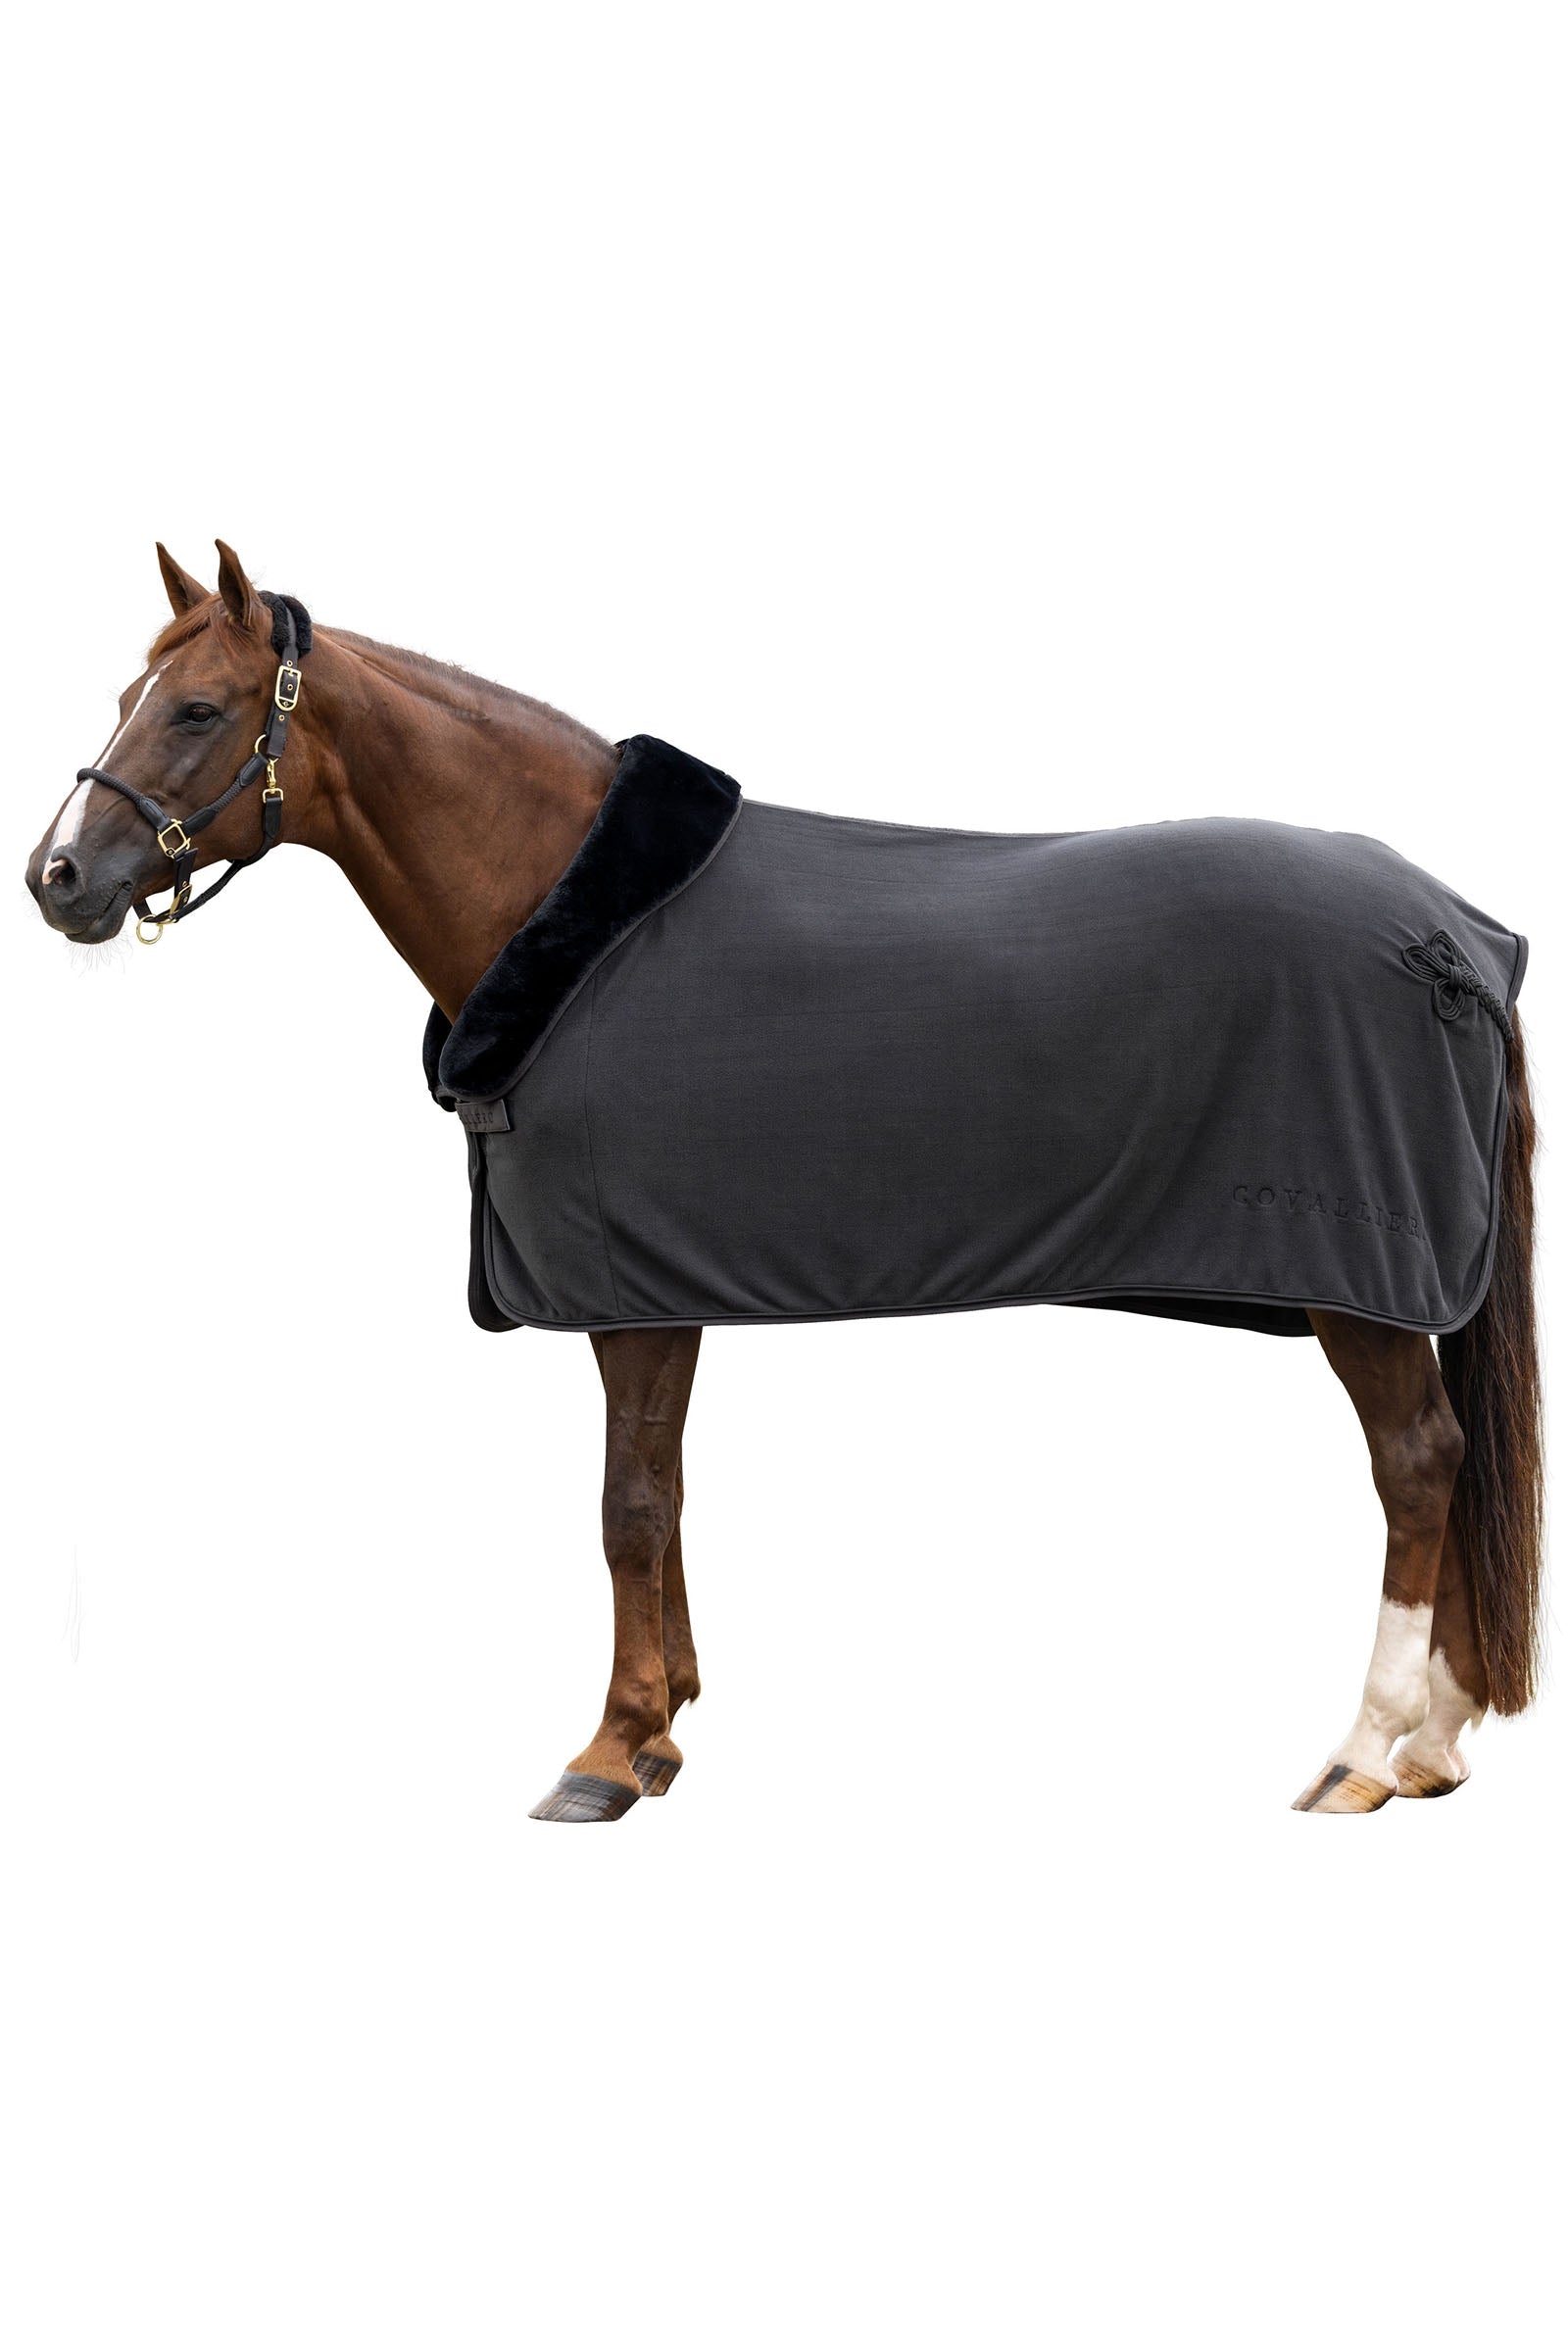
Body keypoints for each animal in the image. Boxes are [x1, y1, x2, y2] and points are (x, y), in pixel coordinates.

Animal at [26, 542, 1544, 1823]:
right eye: (126, 696)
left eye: (199, 710)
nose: (59, 878)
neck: (568, 914)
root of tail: (1448, 937)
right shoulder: (667, 1285)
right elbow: (665, 1491)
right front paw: (664, 1725)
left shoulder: (631, 1289)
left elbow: (625, 1507)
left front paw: (607, 1752)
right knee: (1453, 1464)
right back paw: (1434, 1744)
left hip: (1362, 1284)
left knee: (1418, 1465)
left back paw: (1364, 1752)